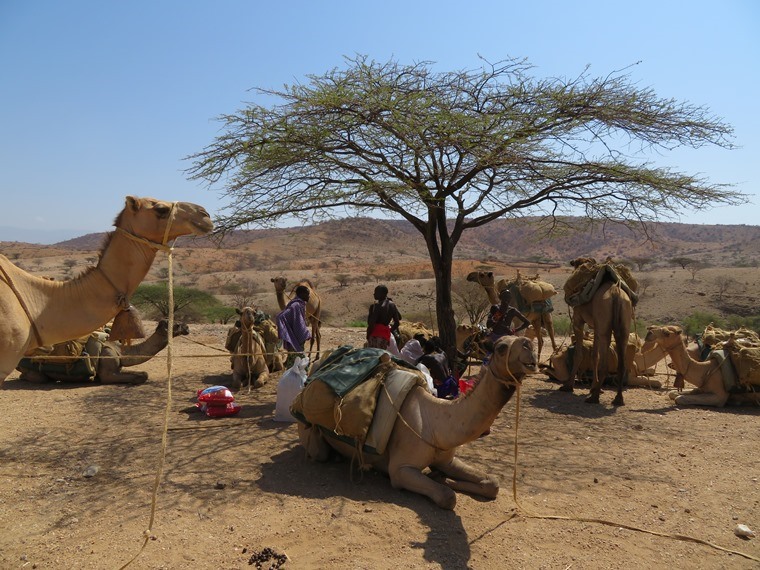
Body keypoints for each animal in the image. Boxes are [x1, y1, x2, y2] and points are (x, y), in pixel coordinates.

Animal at [17, 318, 190, 384]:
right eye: (176, 325)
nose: (187, 327)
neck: (120, 350)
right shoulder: (108, 371)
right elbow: (142, 375)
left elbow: (142, 373)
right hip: (36, 372)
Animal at [296, 332, 536, 506]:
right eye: (501, 347)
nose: (530, 347)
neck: (436, 423)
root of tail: (314, 369)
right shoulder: (401, 470)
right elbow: (447, 497)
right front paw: (439, 479)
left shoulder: (446, 458)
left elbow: (493, 483)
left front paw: (440, 475)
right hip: (310, 431)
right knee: (319, 452)